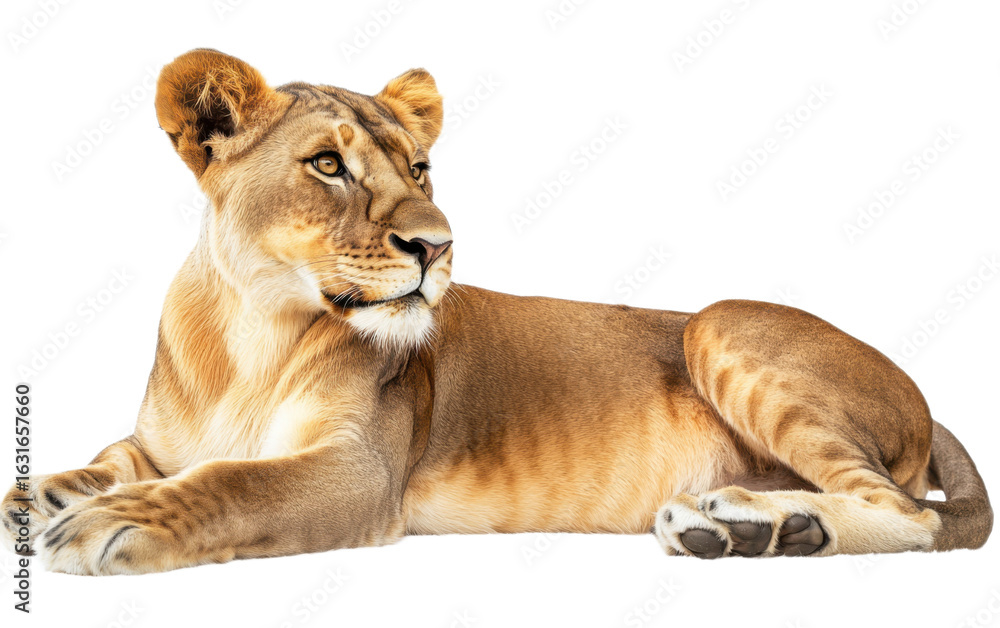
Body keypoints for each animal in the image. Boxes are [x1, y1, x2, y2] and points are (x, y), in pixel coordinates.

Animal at [1, 49, 991, 575]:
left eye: (421, 169)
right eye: (327, 165)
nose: (437, 246)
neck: (249, 336)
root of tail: (924, 395)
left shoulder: (360, 474)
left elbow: (230, 483)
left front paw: (110, 522)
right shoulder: (160, 441)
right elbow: (112, 457)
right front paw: (38, 492)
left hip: (717, 321)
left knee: (912, 513)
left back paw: (758, 522)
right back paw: (735, 526)